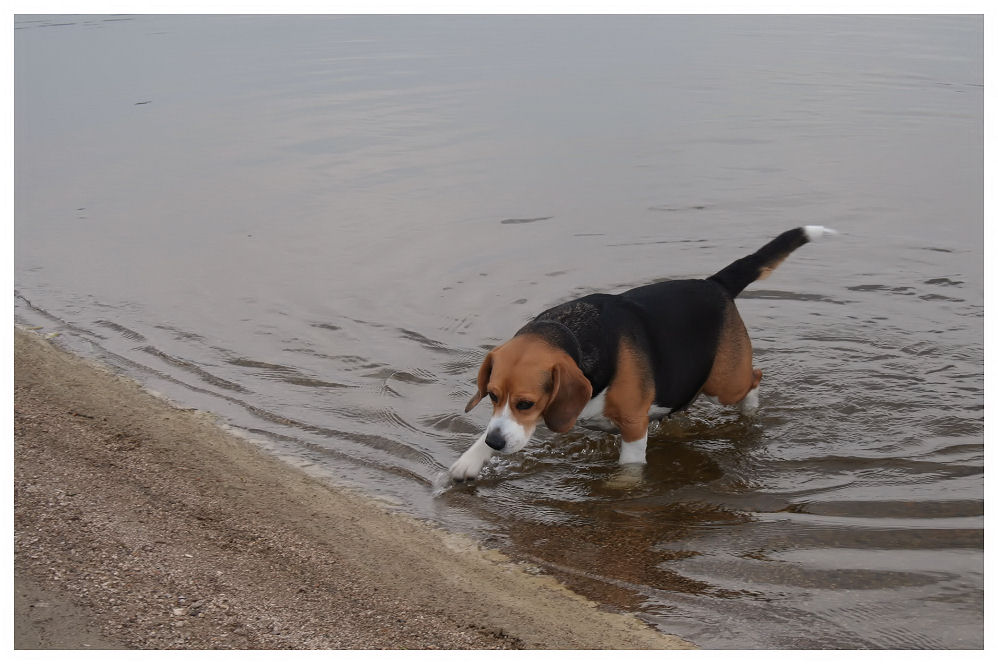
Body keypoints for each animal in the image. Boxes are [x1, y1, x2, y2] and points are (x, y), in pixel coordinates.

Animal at [452, 226, 836, 480]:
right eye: (492, 396)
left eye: (526, 403)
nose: (497, 444)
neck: (570, 334)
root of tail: (714, 284)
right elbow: (486, 433)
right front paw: (469, 460)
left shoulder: (634, 427)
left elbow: (630, 468)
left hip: (725, 383)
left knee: (754, 379)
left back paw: (751, 411)